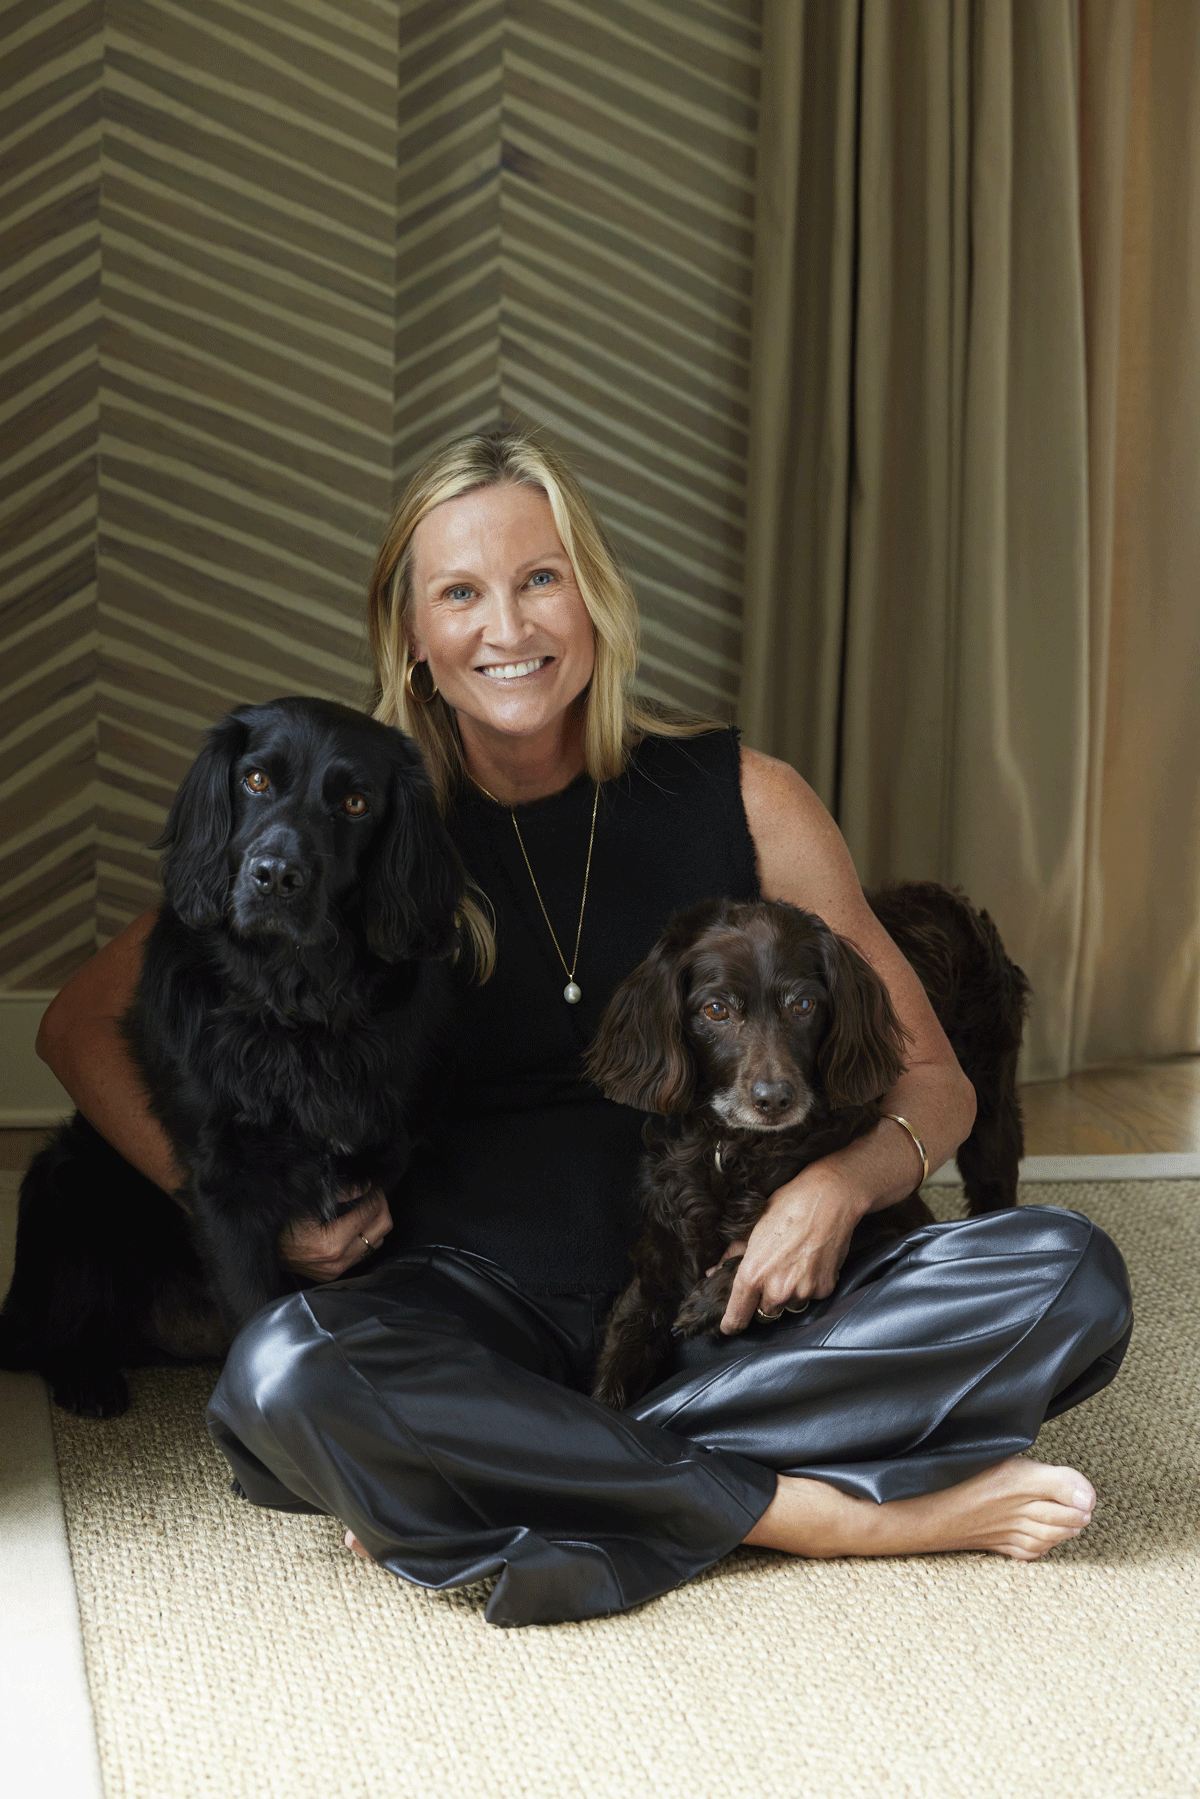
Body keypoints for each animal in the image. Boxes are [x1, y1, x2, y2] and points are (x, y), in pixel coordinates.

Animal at [1, 694, 464, 1410]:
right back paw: (87, 1379)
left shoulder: (383, 1172)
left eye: (356, 803)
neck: (294, 1005)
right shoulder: (224, 1189)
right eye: (255, 780)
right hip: (65, 1174)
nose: (275, 877)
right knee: (44, 1336)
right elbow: (256, 1319)